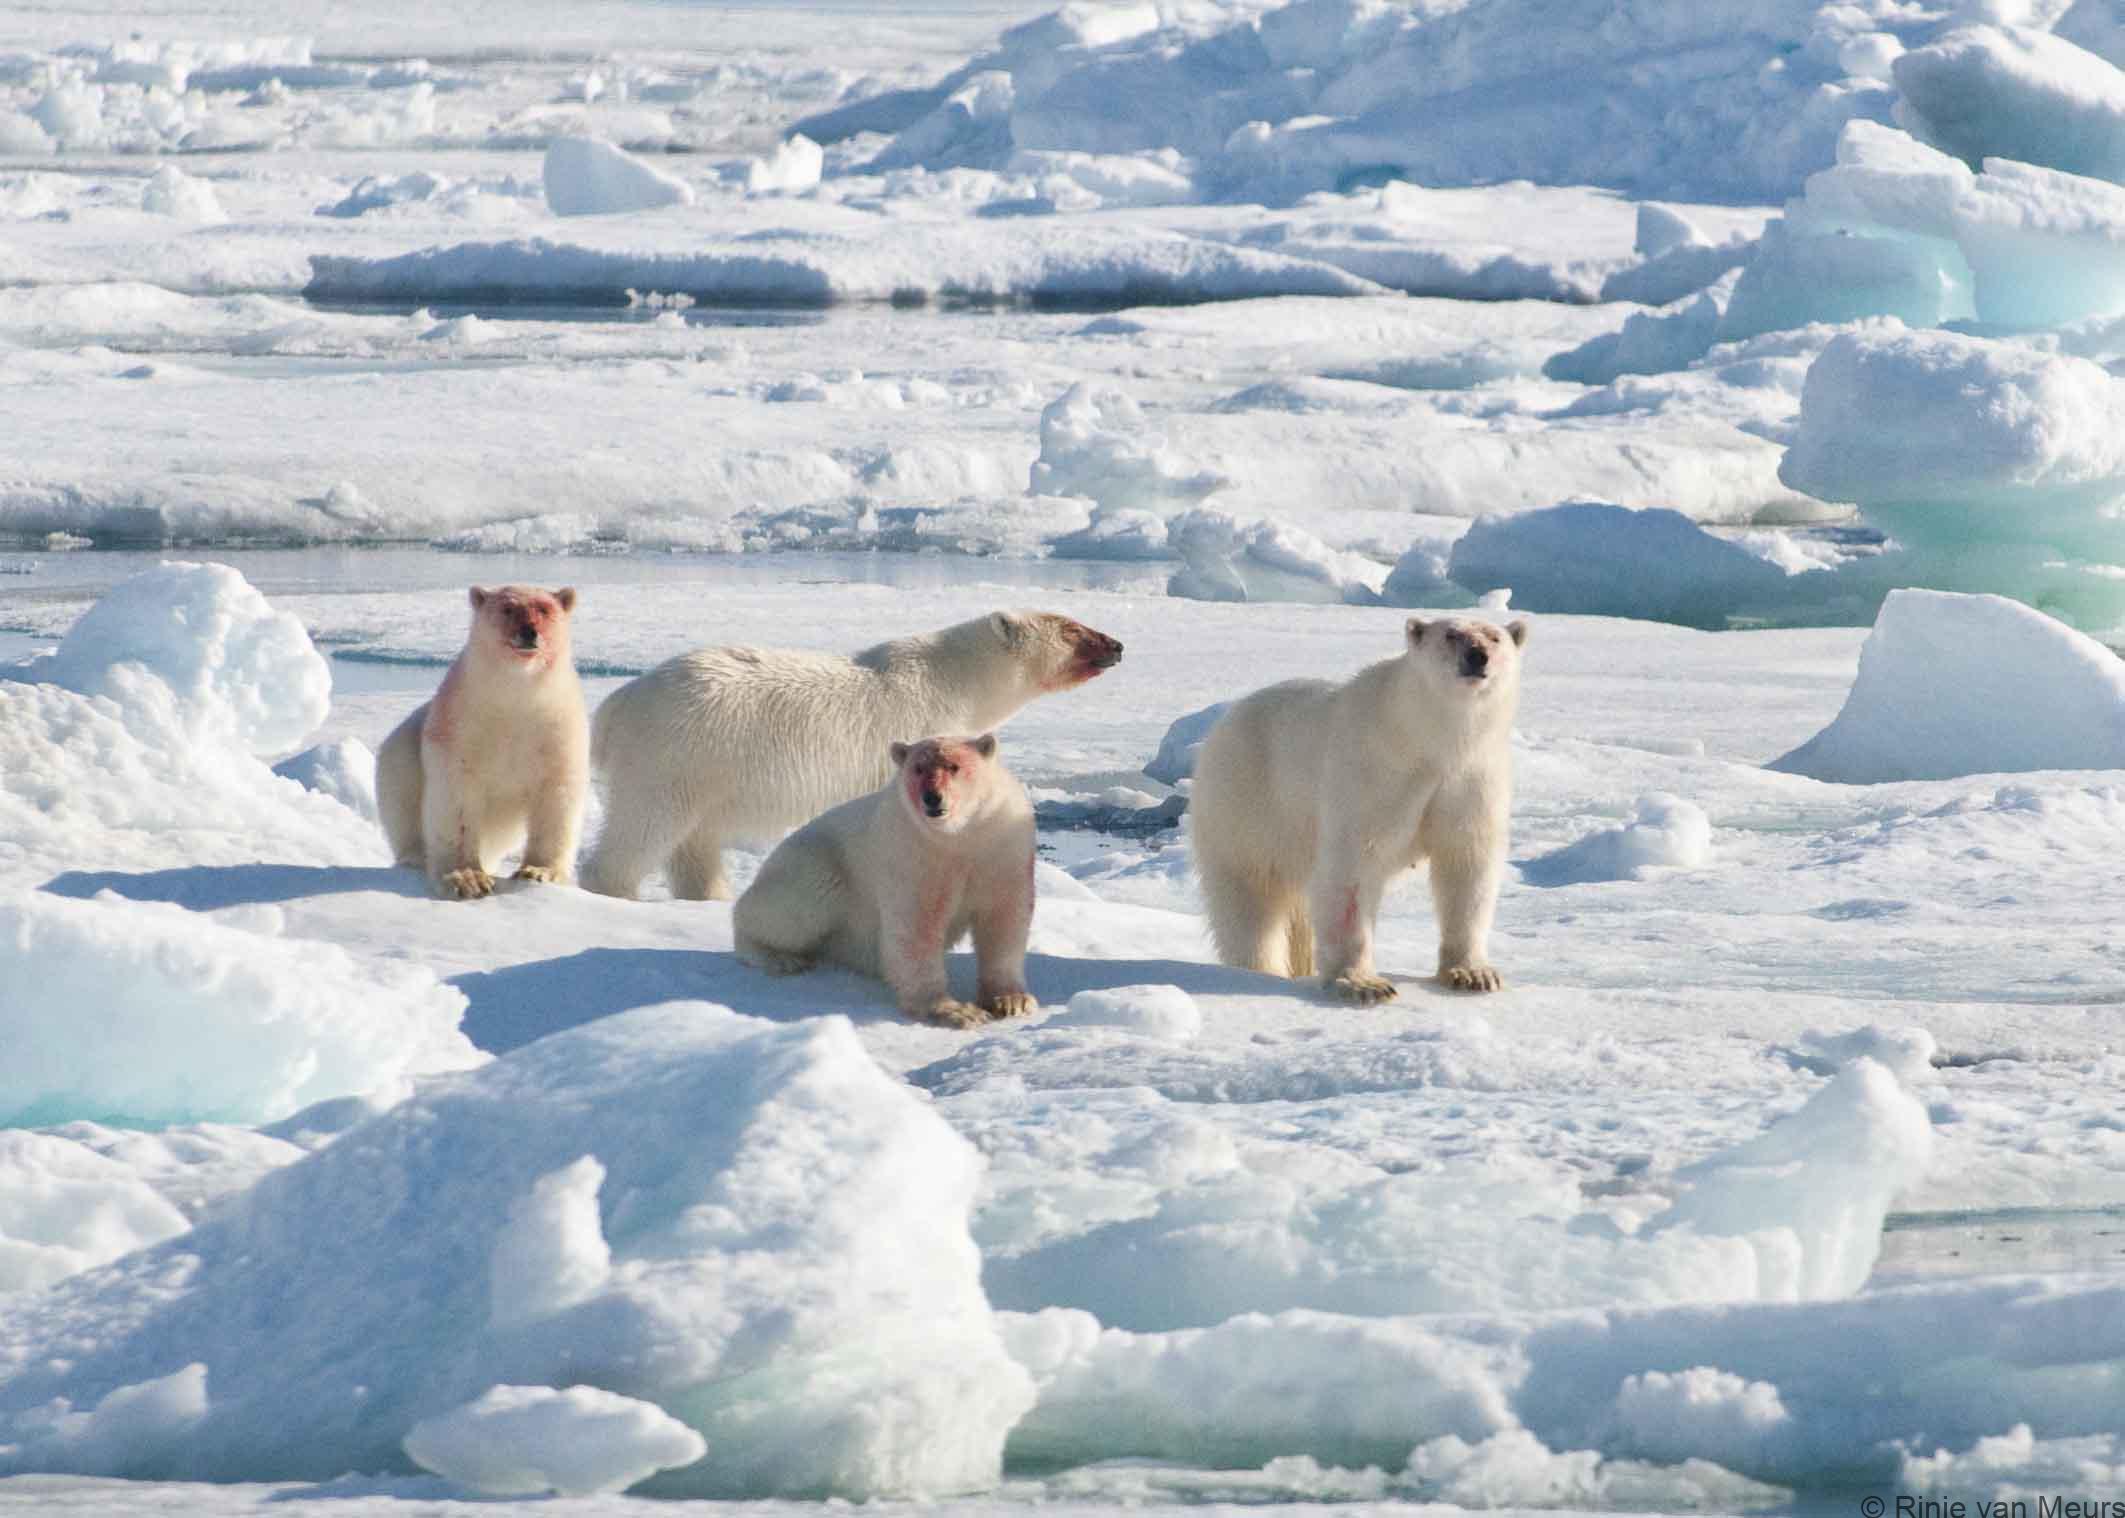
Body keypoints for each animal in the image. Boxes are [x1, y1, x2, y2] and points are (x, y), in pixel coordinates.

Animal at [376, 586, 590, 897]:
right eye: (507, 608)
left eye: (544, 609)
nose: (529, 631)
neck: (515, 694)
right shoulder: (460, 725)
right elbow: (457, 800)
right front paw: (467, 879)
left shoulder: (557, 728)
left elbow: (556, 797)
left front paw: (538, 871)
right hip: (401, 751)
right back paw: (415, 856)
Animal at [573, 608, 1122, 897]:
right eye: (1072, 629)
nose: (1117, 645)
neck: (954, 682)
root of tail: (616, 705)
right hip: (677, 753)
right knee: (646, 827)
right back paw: (613, 890)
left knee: (694, 842)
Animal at [735, 727, 1041, 1024]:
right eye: (918, 768)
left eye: (953, 766)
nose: (932, 798)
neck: (957, 835)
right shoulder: (913, 851)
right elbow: (917, 927)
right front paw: (955, 1010)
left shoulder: (1000, 844)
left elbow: (1003, 918)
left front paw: (1011, 1001)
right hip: (816, 865)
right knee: (792, 908)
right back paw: (779, 957)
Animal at [1198, 608, 1530, 999]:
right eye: (1451, 634)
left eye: (1495, 637)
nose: (1478, 655)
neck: (1426, 739)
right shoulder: (1373, 772)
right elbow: (1353, 870)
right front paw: (1364, 984)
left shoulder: (1472, 778)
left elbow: (1467, 865)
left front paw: (1474, 974)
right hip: (1246, 805)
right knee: (1249, 899)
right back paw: (1259, 971)